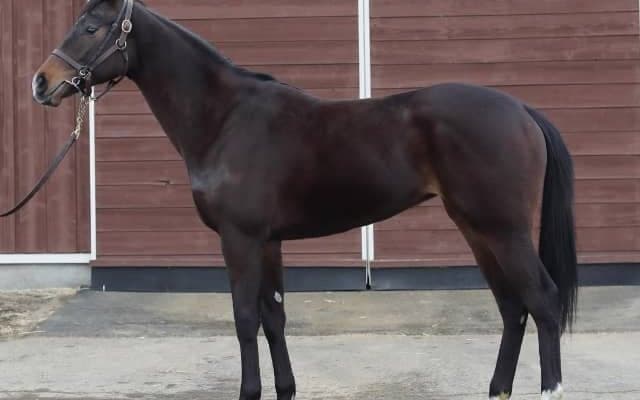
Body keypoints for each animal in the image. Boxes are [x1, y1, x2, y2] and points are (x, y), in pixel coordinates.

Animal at [32, 1, 577, 399]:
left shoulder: (240, 240)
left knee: (543, 301)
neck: (226, 118)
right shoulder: (269, 242)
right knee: (513, 307)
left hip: (503, 230)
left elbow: (245, 318)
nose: (41, 82)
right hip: (476, 229)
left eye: (90, 26)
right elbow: (274, 317)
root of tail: (521, 109)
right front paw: (285, 389)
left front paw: (249, 392)